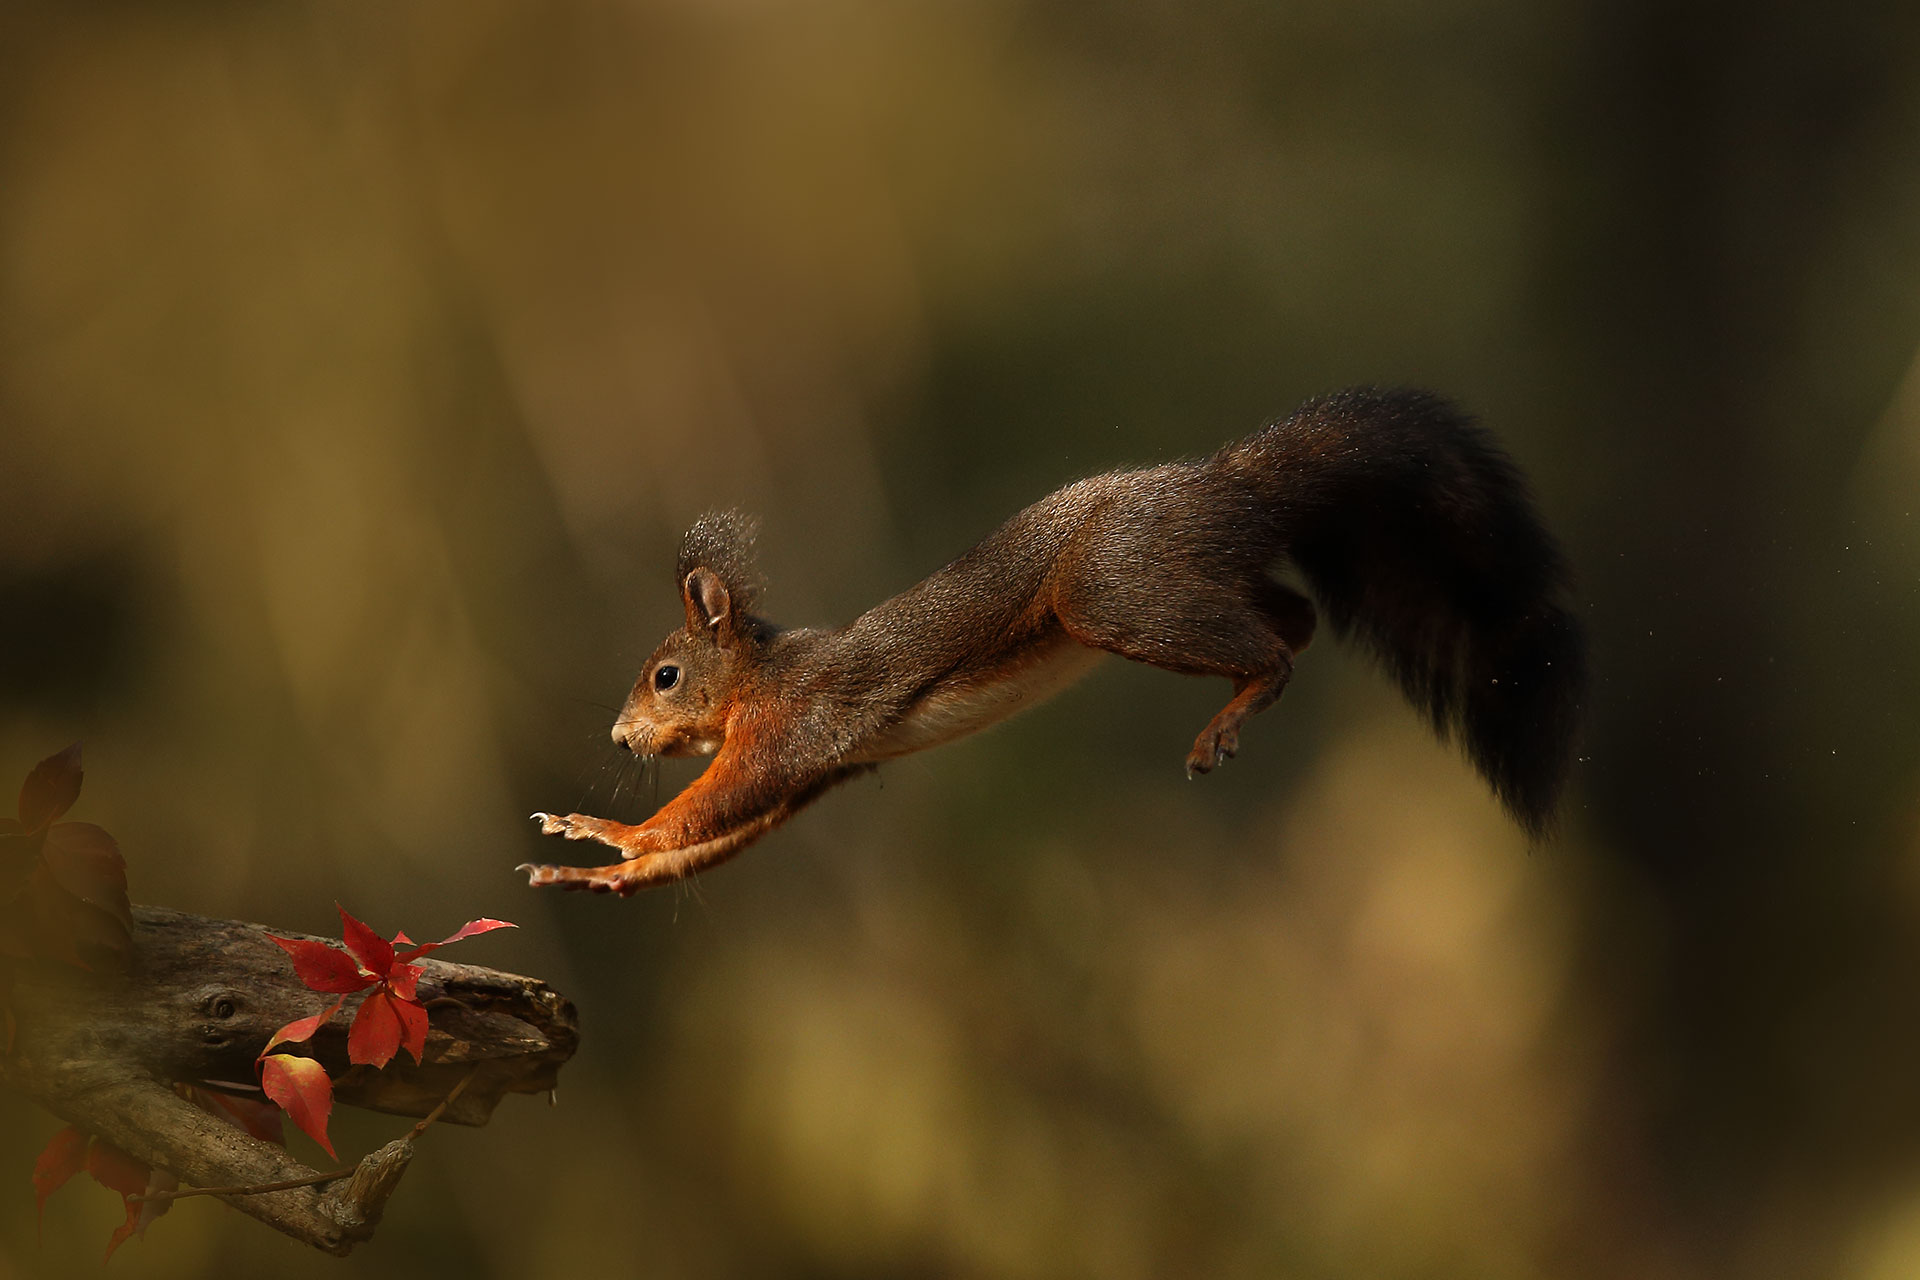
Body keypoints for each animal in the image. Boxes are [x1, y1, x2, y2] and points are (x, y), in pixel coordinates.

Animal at [520, 387, 1585, 896]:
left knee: (1274, 649)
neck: (756, 674)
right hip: (1178, 579)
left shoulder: (794, 728)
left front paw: (609, 832)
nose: (618, 739)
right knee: (1297, 618)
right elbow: (718, 841)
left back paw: (1230, 718)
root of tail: (1228, 480)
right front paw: (596, 875)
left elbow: (711, 804)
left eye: (665, 675)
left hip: (1108, 592)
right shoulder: (822, 768)